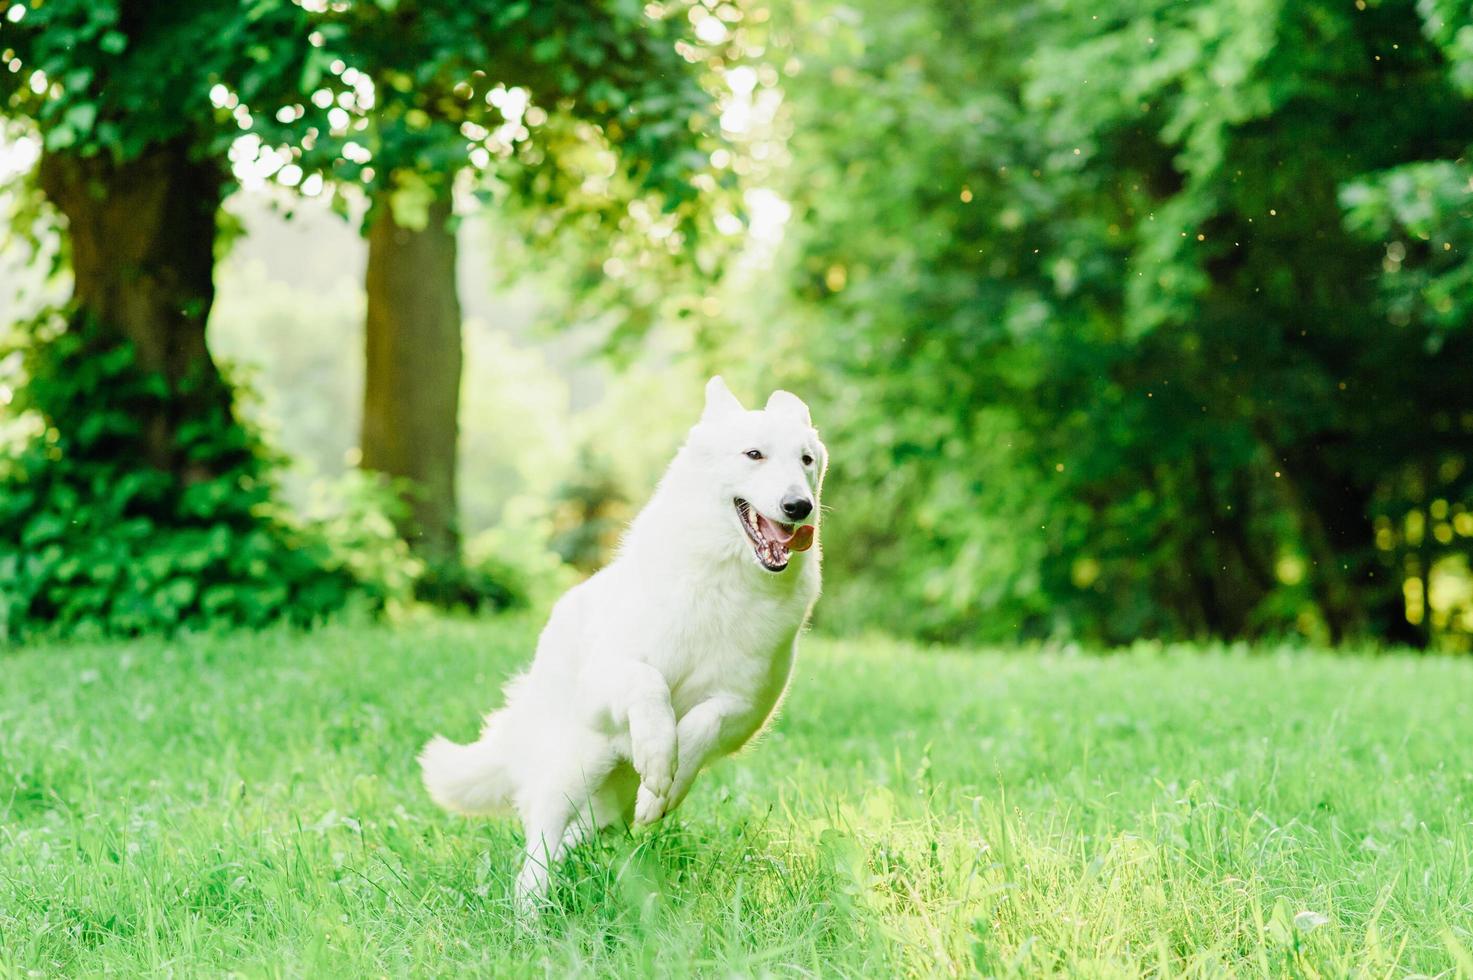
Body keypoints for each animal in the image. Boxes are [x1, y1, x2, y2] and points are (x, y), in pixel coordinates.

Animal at [421, 374, 824, 901]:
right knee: (540, 838)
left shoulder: (745, 709)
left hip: (605, 803)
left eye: (806, 460)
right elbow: (649, 686)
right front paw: (656, 754)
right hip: (579, 760)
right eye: (754, 454)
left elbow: (702, 724)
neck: (724, 581)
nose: (800, 506)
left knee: (576, 833)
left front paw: (666, 784)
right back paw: (532, 904)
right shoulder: (608, 676)